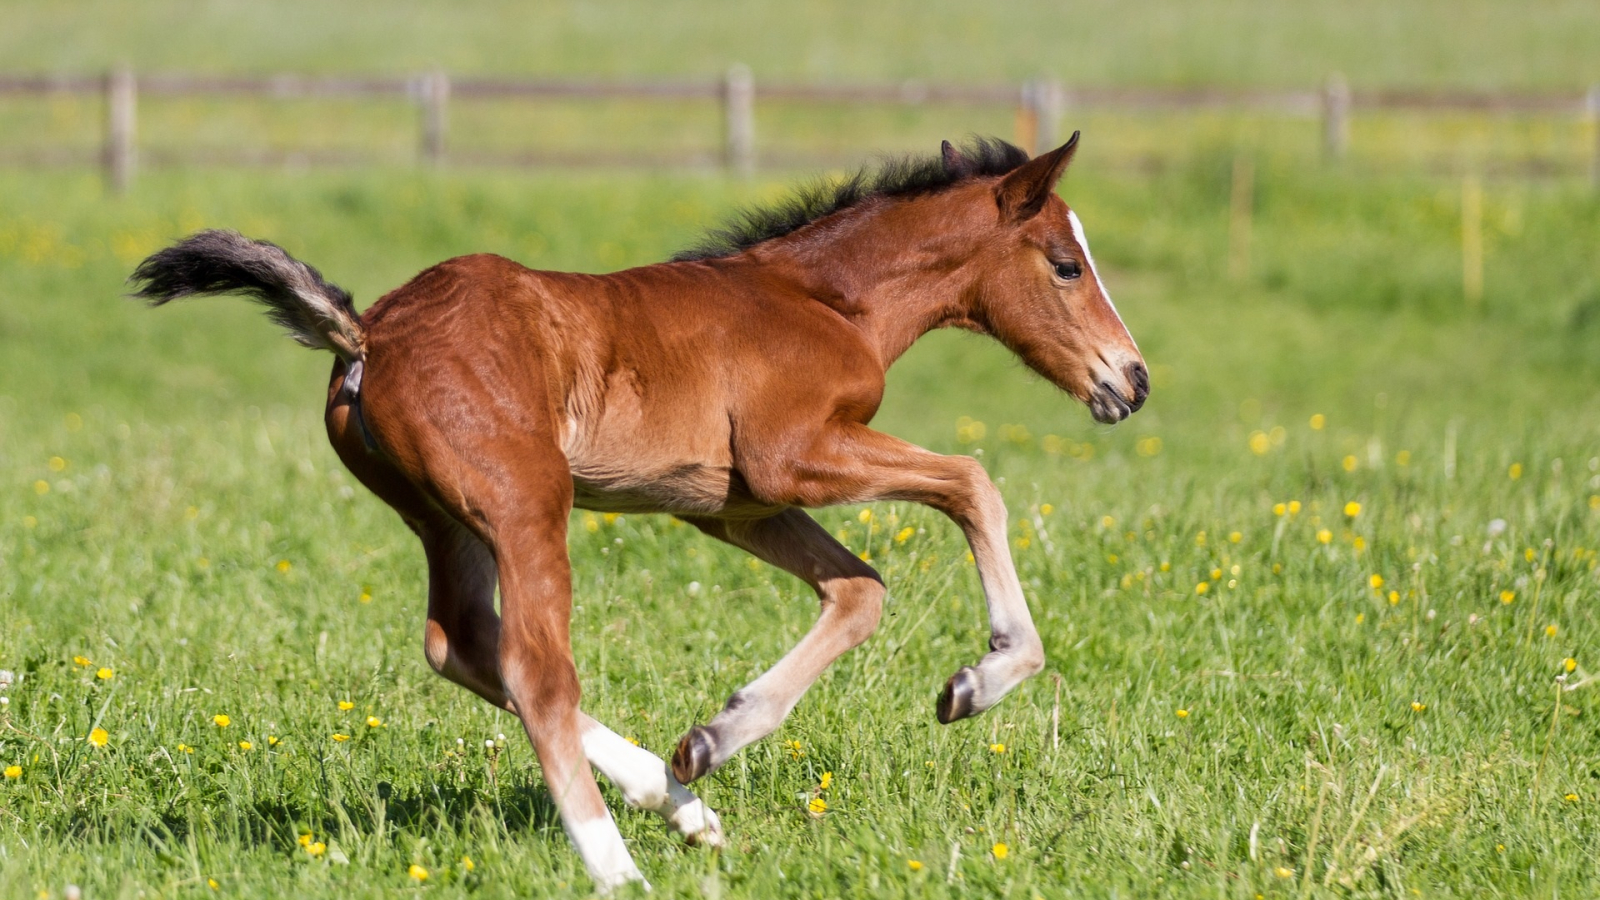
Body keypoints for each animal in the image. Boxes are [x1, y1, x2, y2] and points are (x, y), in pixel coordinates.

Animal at [130, 133, 1147, 892]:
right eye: (1066, 265)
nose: (1130, 381)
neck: (824, 301)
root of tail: (368, 335)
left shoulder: (733, 506)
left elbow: (860, 591)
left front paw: (711, 740)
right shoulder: (794, 457)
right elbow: (974, 482)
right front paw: (984, 677)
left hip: (447, 521)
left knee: (461, 642)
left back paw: (683, 805)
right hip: (526, 505)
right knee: (534, 670)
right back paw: (618, 868)